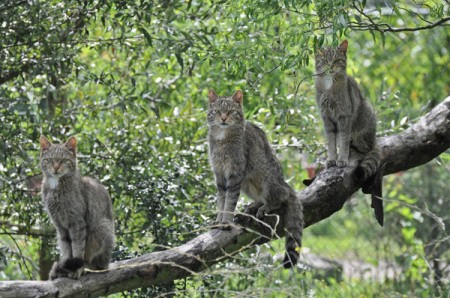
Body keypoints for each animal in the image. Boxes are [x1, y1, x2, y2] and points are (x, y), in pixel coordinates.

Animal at [39, 136, 115, 278]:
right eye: (50, 160)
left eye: (64, 160)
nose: (56, 168)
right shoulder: (60, 225)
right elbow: (67, 249)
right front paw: (68, 265)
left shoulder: (77, 223)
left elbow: (77, 247)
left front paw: (76, 269)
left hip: (102, 227)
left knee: (95, 264)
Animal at [207, 90, 302, 268]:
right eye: (217, 111)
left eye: (230, 111)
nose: (223, 119)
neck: (222, 139)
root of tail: (286, 184)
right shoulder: (220, 175)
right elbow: (221, 201)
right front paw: (218, 220)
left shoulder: (234, 174)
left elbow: (229, 202)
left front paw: (226, 222)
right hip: (247, 183)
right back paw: (253, 205)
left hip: (266, 181)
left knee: (281, 197)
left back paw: (265, 207)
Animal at [312, 40, 384, 226]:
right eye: (325, 60)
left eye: (337, 60)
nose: (331, 67)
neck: (329, 87)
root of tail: (375, 138)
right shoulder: (327, 120)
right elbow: (331, 143)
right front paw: (331, 159)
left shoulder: (344, 118)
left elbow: (343, 141)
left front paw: (342, 159)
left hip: (365, 117)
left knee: (363, 148)